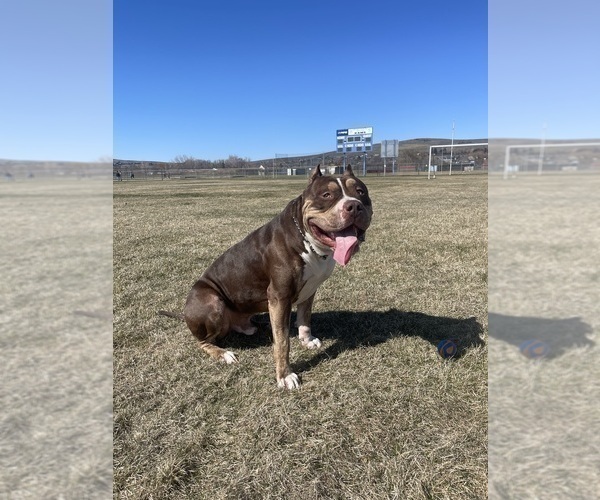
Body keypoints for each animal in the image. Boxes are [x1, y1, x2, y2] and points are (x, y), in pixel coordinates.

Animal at [162, 166, 372, 388]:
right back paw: (223, 353)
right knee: (203, 341)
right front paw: (285, 375)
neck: (308, 241)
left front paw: (306, 340)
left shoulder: (309, 291)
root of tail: (185, 313)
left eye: (360, 192)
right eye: (326, 195)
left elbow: (304, 319)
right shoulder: (280, 296)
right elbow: (282, 341)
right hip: (212, 301)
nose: (354, 206)